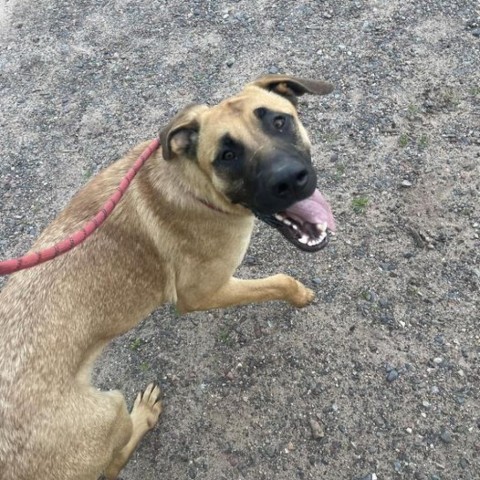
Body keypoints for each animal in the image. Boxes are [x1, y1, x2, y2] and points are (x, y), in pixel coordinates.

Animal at [0, 73, 334, 478]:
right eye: (227, 156)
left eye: (279, 121)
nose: (290, 180)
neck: (192, 183)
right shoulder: (200, 293)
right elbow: (279, 281)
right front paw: (300, 295)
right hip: (106, 411)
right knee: (114, 463)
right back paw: (144, 416)